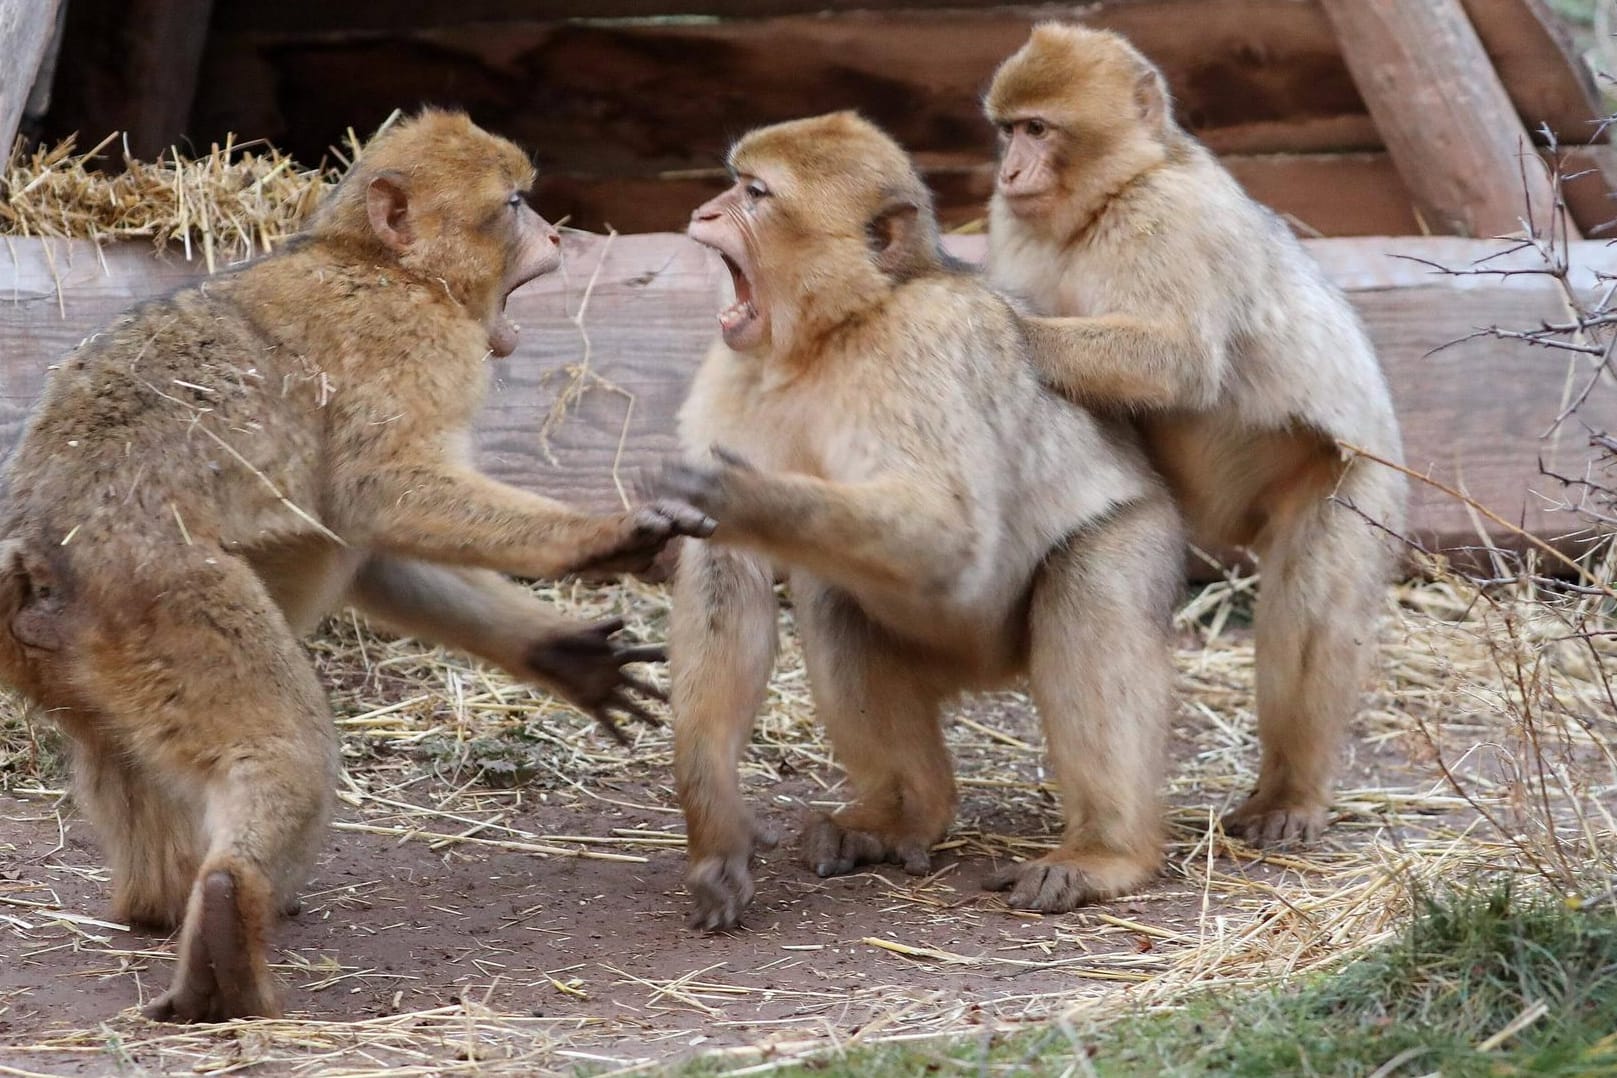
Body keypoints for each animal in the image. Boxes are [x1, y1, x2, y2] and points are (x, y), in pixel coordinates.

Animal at [0, 109, 714, 1021]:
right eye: (516, 204)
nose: (556, 233)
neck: (379, 263)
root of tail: (33, 548)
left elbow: (371, 547)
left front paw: (560, 653)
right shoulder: (409, 343)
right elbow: (385, 493)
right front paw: (602, 538)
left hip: (82, 654)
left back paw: (166, 905)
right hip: (158, 593)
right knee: (284, 748)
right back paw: (229, 912)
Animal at [662, 113, 1183, 930]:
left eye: (754, 193)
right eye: (733, 184)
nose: (706, 212)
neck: (839, 330)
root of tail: (983, 671)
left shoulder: (924, 341)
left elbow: (954, 536)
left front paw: (748, 498)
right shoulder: (734, 365)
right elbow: (727, 568)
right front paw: (714, 825)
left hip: (1124, 536)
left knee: (1092, 590)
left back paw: (1107, 851)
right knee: (833, 595)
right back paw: (904, 812)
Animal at [976, 25, 1410, 846]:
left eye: (1038, 129)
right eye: (1007, 129)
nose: (1007, 169)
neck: (1113, 195)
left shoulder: (1167, 218)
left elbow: (1175, 362)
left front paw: (1002, 325)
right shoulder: (1015, 225)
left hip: (1360, 481)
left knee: (1310, 617)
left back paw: (1292, 793)